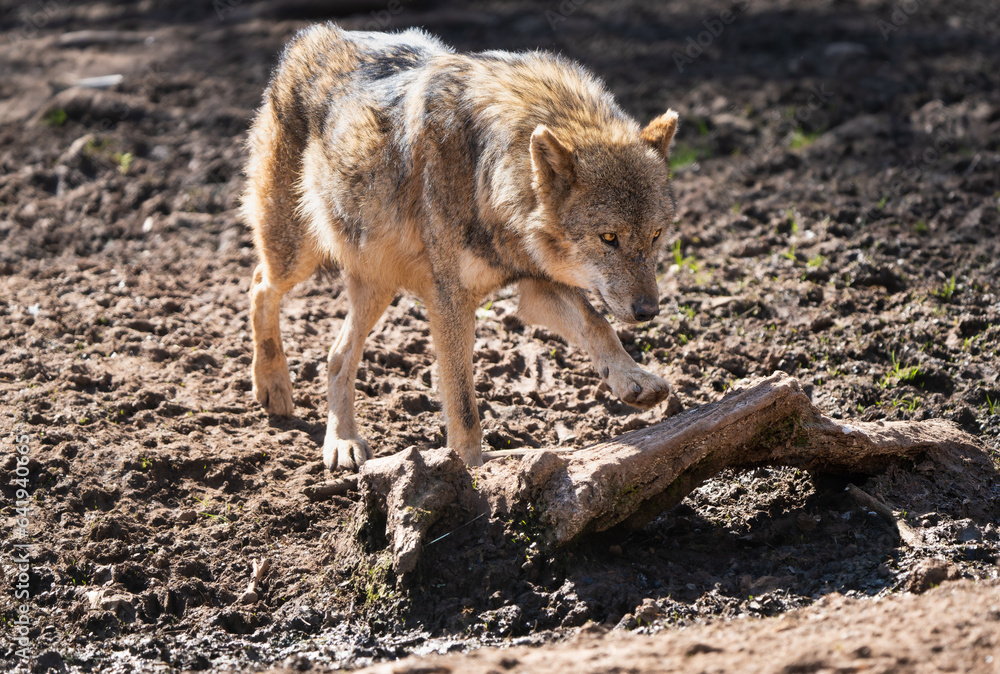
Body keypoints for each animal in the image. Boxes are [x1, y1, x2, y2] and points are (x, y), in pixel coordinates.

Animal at [242, 23, 680, 470]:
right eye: (609, 238)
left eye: (656, 234)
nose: (649, 311)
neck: (488, 174)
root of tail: (312, 35)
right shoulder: (449, 299)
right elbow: (463, 399)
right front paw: (468, 468)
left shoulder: (536, 285)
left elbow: (598, 325)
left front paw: (633, 381)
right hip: (297, 255)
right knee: (259, 284)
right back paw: (274, 386)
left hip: (377, 281)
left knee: (335, 355)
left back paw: (341, 441)